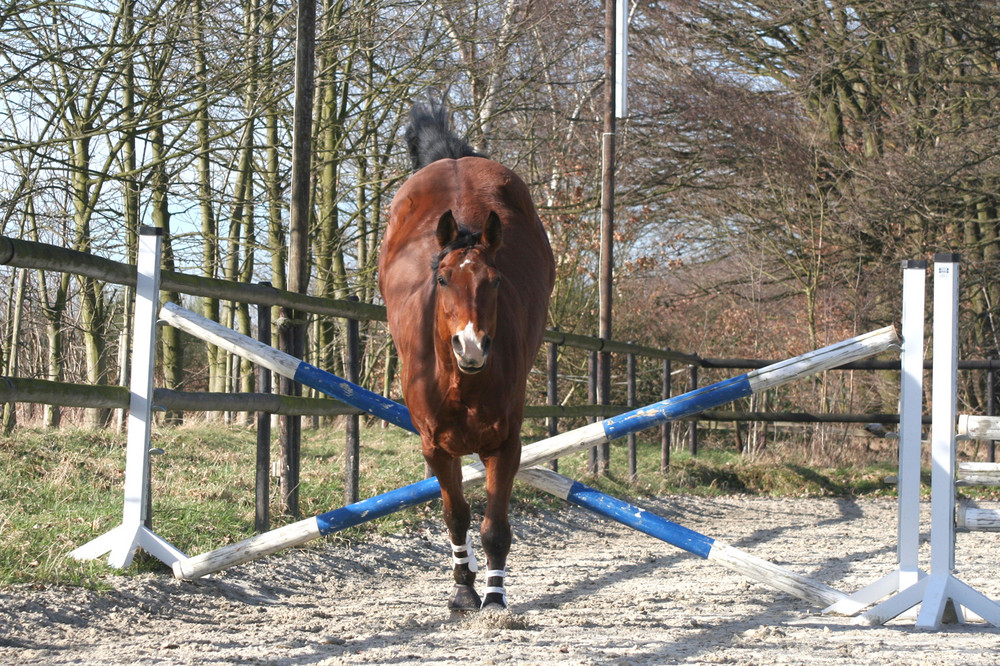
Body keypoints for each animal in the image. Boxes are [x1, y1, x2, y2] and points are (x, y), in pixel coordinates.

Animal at [378, 101, 556, 608]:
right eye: (442, 280)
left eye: (493, 282)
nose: (471, 345)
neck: (461, 382)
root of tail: (453, 158)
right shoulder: (435, 447)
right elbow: (455, 515)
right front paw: (462, 590)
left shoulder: (506, 445)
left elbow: (496, 527)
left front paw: (493, 597)